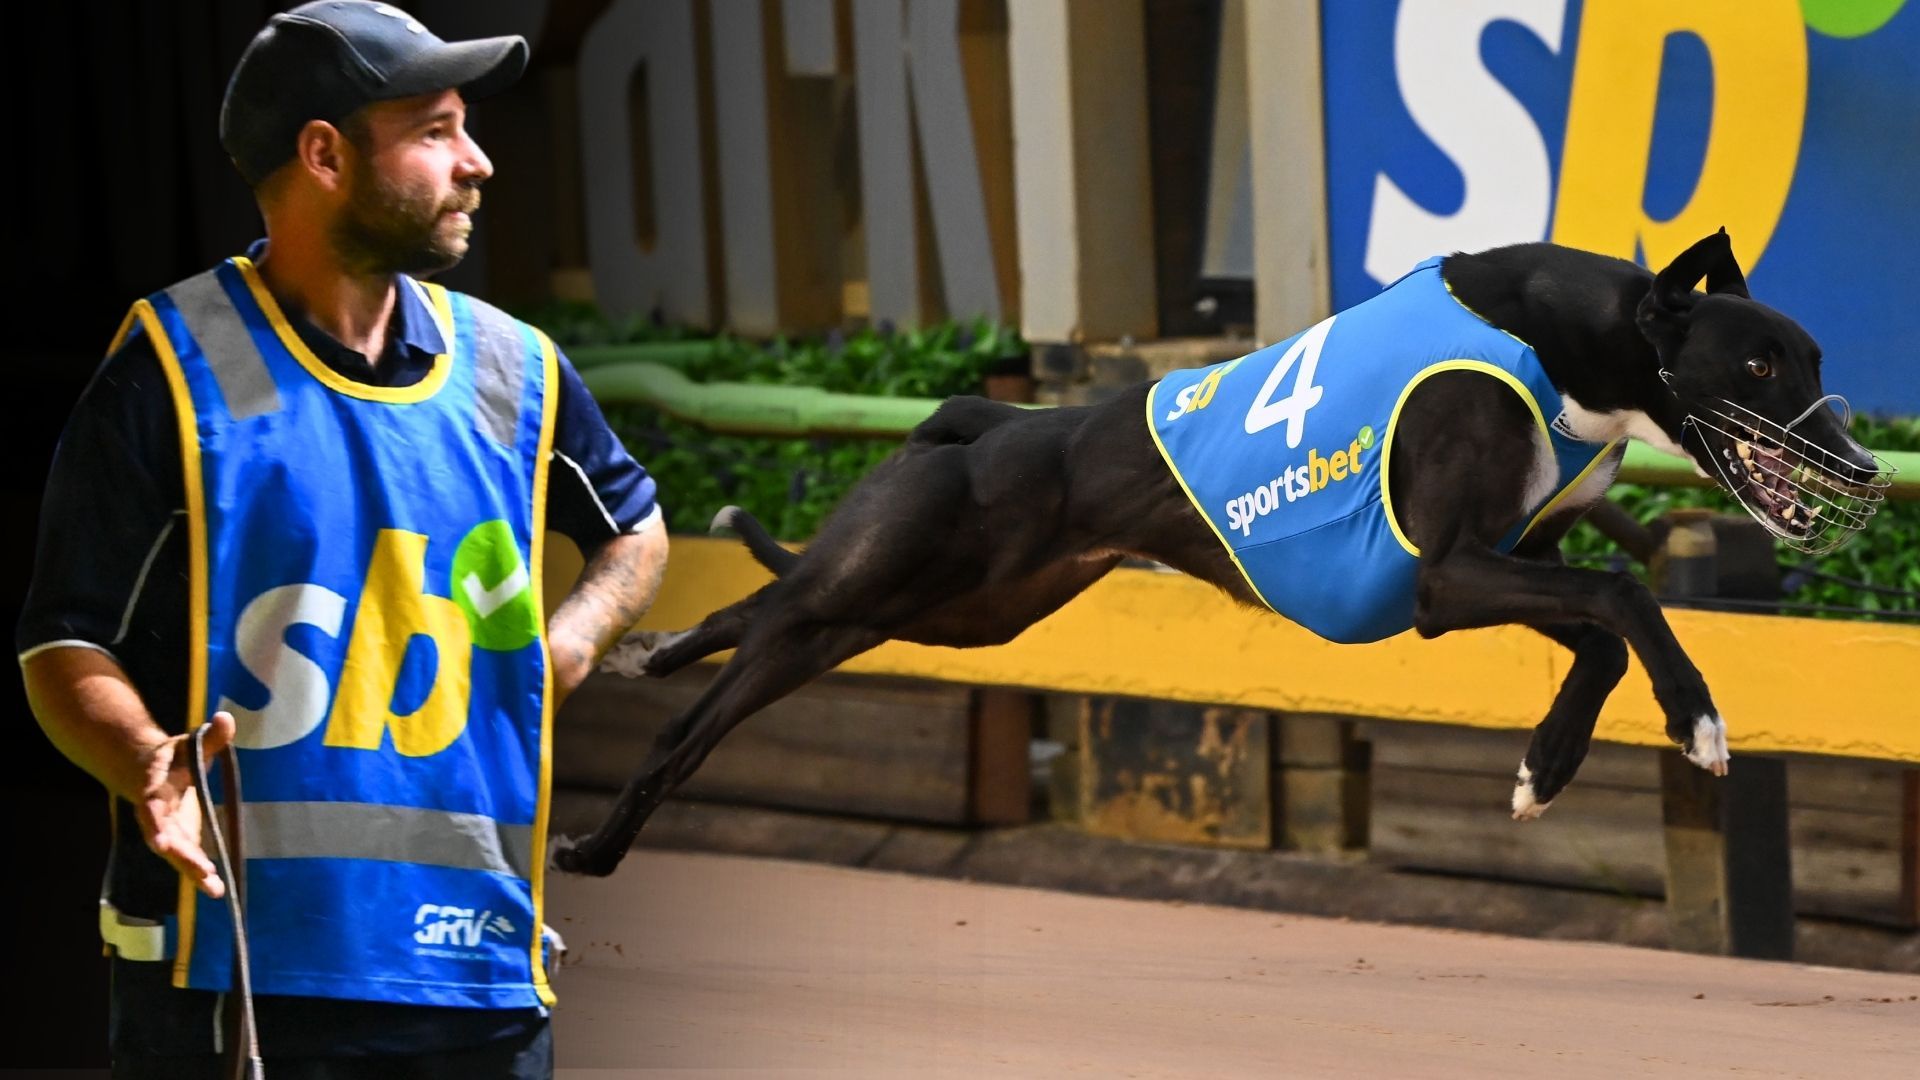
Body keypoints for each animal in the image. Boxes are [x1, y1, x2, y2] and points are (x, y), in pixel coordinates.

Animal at [553, 230, 1887, 877]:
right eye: (1759, 361)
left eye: (1817, 358)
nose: (1866, 467)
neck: (1566, 343)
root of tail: (985, 420)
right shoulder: (1447, 573)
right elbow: (1621, 593)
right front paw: (1696, 721)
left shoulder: (1486, 570)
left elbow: (1602, 630)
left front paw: (1545, 769)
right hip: (880, 581)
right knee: (706, 705)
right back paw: (597, 838)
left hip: (955, 610)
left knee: (762, 607)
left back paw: (646, 651)